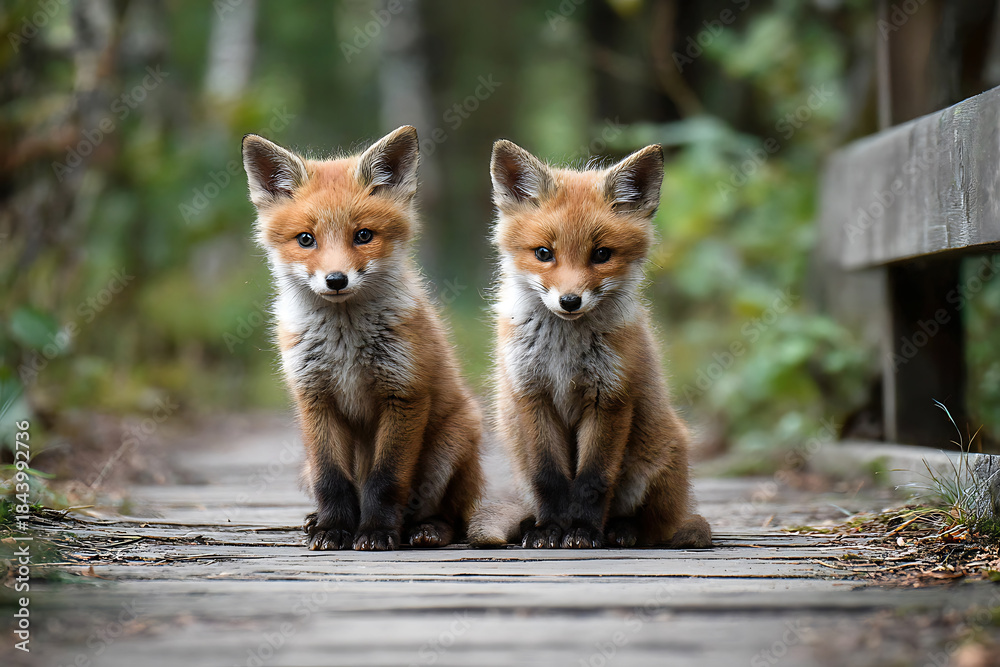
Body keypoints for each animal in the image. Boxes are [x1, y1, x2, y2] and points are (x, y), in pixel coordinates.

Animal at [241, 126, 484, 551]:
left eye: (363, 235)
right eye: (306, 239)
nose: (336, 280)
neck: (344, 346)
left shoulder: (403, 395)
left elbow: (385, 480)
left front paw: (375, 532)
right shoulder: (315, 398)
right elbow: (332, 480)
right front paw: (333, 529)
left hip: (452, 443)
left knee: (453, 516)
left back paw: (427, 529)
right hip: (307, 465)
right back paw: (315, 520)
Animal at [469, 139, 712, 549]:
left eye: (601, 255)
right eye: (544, 253)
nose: (570, 301)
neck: (563, 354)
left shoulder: (609, 399)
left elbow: (593, 481)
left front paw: (582, 531)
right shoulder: (532, 395)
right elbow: (550, 478)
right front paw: (550, 530)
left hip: (652, 463)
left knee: (653, 526)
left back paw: (622, 530)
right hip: (518, 452)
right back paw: (532, 524)